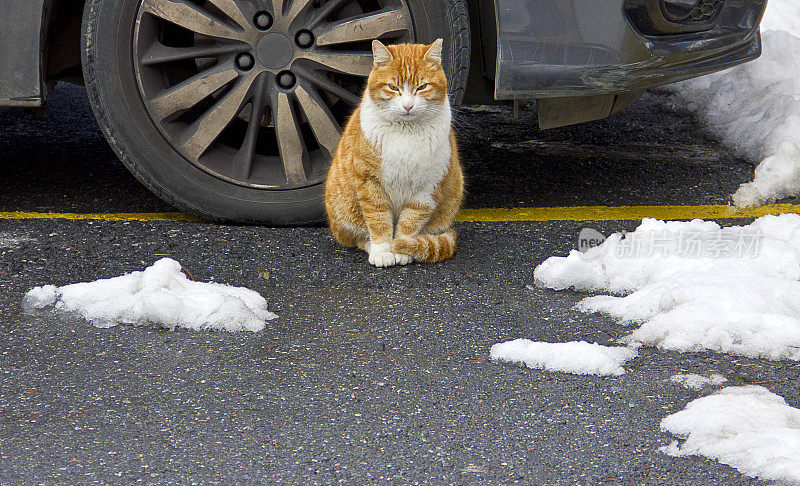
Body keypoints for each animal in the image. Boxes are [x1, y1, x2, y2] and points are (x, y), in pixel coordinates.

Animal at [324, 39, 462, 268]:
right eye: (393, 87)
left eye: (422, 87)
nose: (408, 106)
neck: (405, 132)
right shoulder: (369, 182)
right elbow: (378, 220)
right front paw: (383, 250)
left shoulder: (426, 189)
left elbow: (410, 222)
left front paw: (402, 248)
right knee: (358, 238)